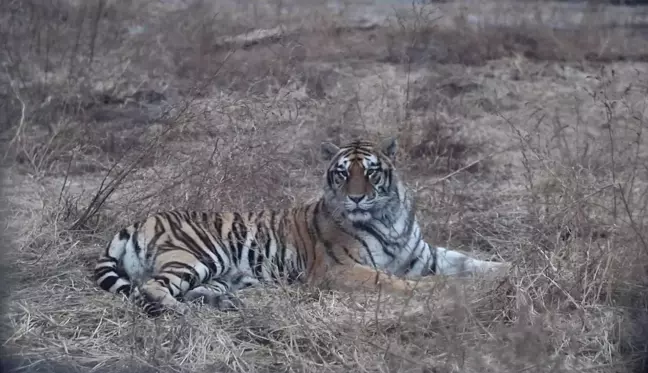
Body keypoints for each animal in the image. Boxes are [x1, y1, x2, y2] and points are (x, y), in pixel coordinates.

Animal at [92, 138, 512, 316]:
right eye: (342, 173)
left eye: (370, 172)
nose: (356, 198)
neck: (386, 217)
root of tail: (136, 220)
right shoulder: (341, 269)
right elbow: (391, 281)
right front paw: (433, 289)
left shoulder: (423, 255)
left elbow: (468, 260)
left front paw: (509, 269)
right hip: (196, 258)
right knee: (150, 288)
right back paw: (179, 312)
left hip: (219, 275)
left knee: (189, 290)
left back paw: (224, 303)